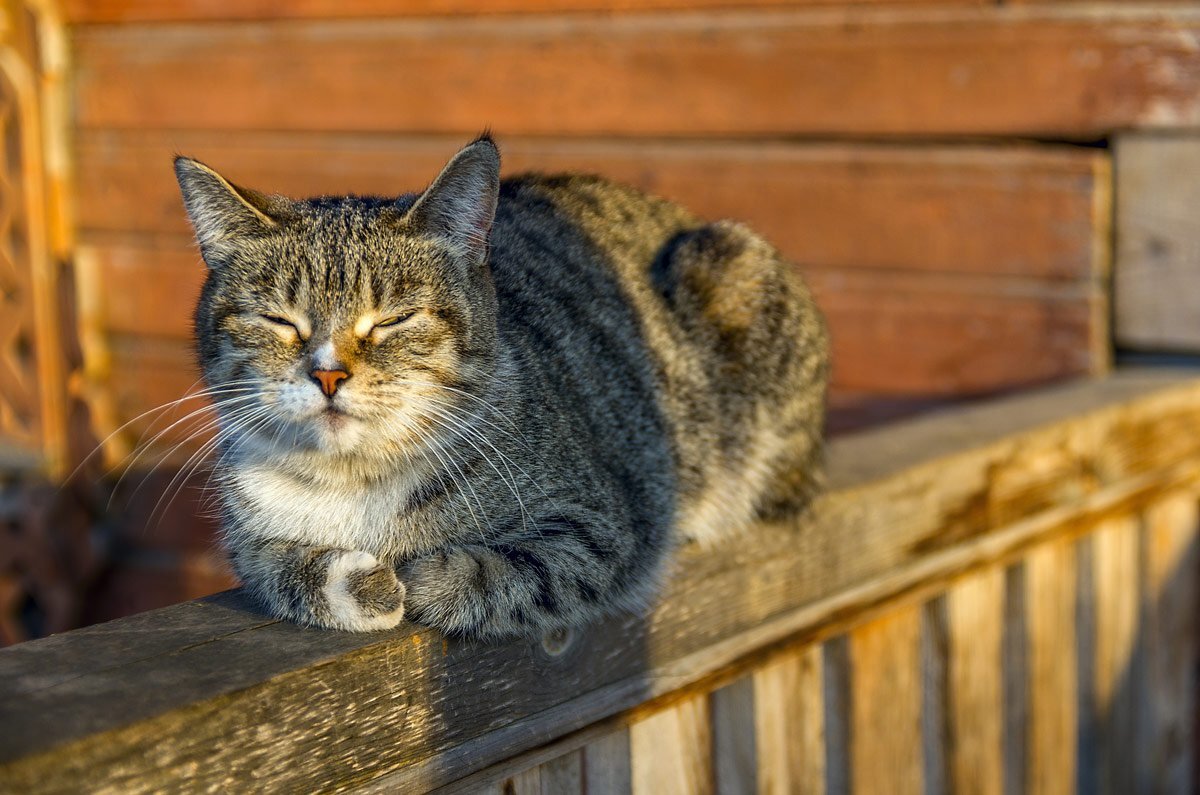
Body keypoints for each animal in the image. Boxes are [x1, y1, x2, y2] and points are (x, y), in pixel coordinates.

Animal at [174, 132, 830, 643]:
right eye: (279, 320)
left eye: (393, 320)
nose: (328, 372)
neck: (356, 484)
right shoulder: (249, 538)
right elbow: (275, 566)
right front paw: (358, 583)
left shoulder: (604, 522)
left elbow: (513, 573)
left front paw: (425, 577)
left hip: (732, 272)